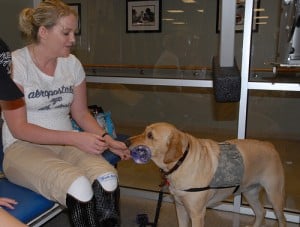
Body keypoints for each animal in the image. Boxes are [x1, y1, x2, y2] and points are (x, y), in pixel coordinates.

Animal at [127, 122, 286, 227]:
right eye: (144, 131)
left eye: (150, 135)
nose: (127, 141)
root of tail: (269, 145)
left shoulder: (197, 214)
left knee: (281, 219)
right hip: (250, 193)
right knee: (261, 212)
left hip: (274, 196)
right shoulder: (180, 207)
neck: (181, 162)